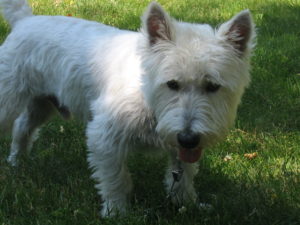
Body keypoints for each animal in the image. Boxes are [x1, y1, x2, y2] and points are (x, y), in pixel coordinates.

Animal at [0, 0, 254, 216]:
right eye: (172, 83)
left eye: (213, 86)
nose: (188, 138)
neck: (147, 95)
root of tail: (25, 20)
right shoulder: (104, 138)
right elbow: (116, 180)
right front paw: (116, 212)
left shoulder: (181, 148)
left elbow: (183, 176)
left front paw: (188, 204)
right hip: (9, 97)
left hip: (42, 103)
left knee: (23, 127)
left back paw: (17, 162)